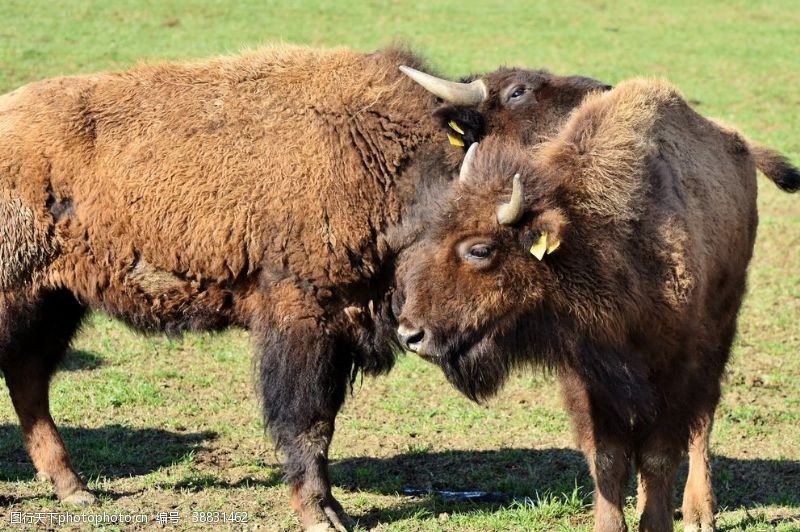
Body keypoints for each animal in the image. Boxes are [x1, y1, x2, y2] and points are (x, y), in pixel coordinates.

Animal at [1, 46, 612, 532]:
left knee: (29, 379)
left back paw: (76, 489)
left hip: (56, 302)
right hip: (24, 298)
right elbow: (308, 421)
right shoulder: (302, 318)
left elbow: (322, 421)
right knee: (25, 375)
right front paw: (322, 514)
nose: (605, 90)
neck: (387, 152)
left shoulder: (344, 323)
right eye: (518, 90)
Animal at [394, 80, 800, 532]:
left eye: (480, 249)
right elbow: (607, 458)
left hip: (720, 329)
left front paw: (655, 522)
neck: (593, 240)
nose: (410, 333)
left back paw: (699, 513)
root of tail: (738, 143)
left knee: (702, 421)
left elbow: (659, 454)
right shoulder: (588, 377)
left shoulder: (676, 368)